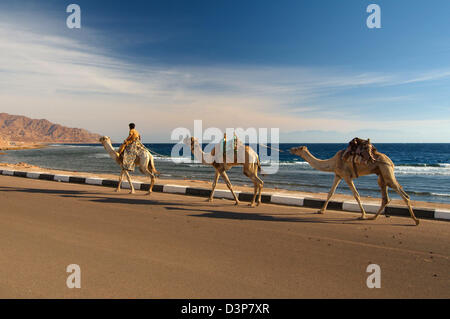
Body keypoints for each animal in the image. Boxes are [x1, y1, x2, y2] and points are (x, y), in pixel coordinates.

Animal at [290, 146, 420, 226]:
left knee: (403, 194)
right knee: (386, 198)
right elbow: (330, 193)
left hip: (386, 171)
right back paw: (373, 217)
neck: (332, 162)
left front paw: (362, 215)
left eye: (297, 148)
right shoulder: (338, 175)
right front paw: (320, 211)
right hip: (381, 175)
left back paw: (416, 220)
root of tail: (391, 162)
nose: (290, 149)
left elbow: (356, 194)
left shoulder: (347, 176)